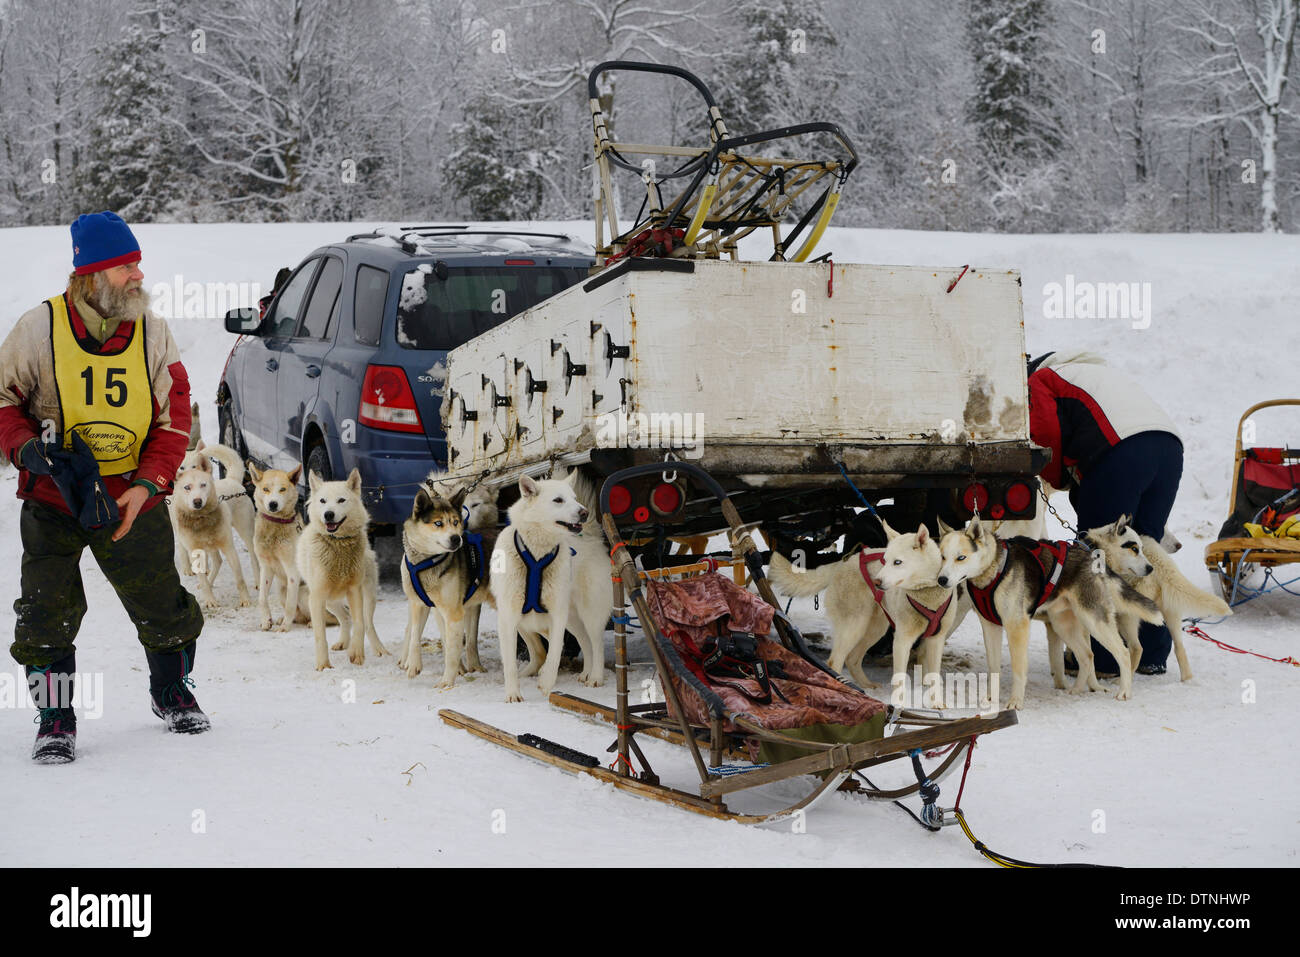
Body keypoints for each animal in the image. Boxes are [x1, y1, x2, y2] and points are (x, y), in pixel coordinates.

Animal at [491, 473, 613, 702]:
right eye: (558, 500)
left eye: (574, 498)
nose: (584, 512)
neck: (537, 554)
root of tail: (591, 538)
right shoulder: (509, 617)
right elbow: (510, 664)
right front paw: (513, 694)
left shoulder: (557, 614)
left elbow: (556, 651)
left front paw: (546, 682)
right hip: (572, 619)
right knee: (586, 643)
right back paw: (586, 673)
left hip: (588, 613)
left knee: (597, 644)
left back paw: (596, 677)